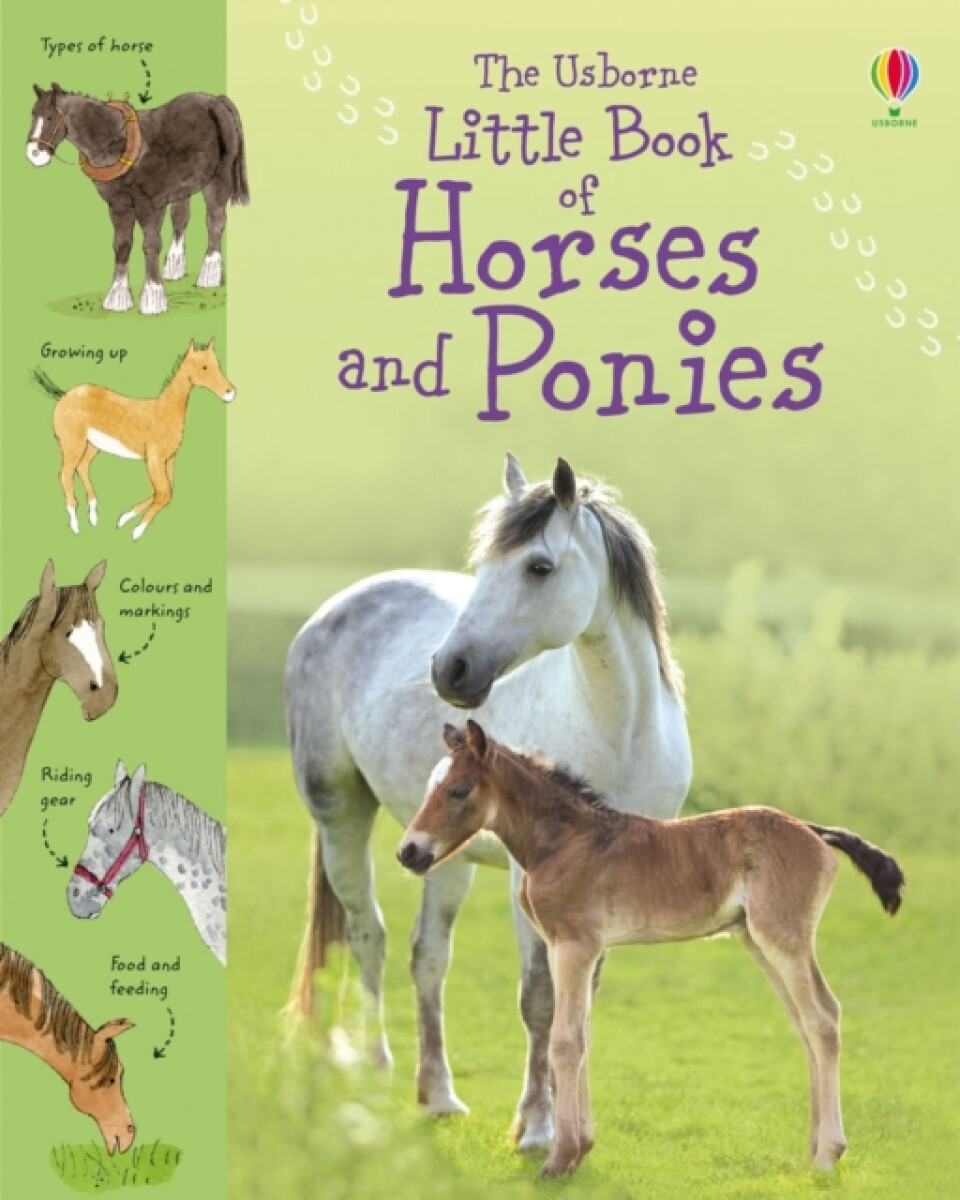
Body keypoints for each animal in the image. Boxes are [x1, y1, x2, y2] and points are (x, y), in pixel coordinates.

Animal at [25, 83, 249, 316]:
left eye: (50, 117)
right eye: (33, 114)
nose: (34, 154)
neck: (120, 142)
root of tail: (217, 101)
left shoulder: (150, 205)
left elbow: (151, 245)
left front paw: (153, 296)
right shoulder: (118, 205)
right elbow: (122, 245)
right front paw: (117, 296)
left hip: (217, 179)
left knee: (215, 220)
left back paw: (210, 273)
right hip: (184, 185)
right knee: (181, 218)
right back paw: (175, 267)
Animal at [34, 338, 236, 540]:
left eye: (217, 364)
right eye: (204, 367)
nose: (230, 392)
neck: (164, 413)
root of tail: (64, 394)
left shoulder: (169, 459)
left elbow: (164, 491)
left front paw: (125, 518)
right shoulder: (154, 460)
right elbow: (164, 494)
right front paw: (137, 531)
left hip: (92, 445)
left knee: (81, 467)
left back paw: (93, 515)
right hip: (72, 444)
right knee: (65, 474)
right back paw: (75, 525)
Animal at [285, 455, 692, 1149]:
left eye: (539, 567)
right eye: (482, 567)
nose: (449, 670)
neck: (621, 733)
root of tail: (334, 607)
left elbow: (581, 1000)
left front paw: (566, 1123)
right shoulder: (529, 882)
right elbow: (540, 999)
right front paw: (537, 1128)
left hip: (442, 857)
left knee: (428, 956)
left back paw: (438, 1095)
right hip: (342, 819)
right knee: (370, 938)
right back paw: (374, 1075)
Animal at [400, 720, 905, 1176]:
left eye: (459, 790)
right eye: (430, 787)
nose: (409, 852)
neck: (564, 842)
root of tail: (816, 831)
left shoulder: (575, 945)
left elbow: (564, 1041)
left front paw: (558, 1160)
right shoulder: (575, 948)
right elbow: (582, 1035)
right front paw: (581, 1149)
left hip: (784, 938)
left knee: (823, 1017)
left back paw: (826, 1156)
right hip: (757, 940)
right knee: (804, 1023)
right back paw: (814, 1150)